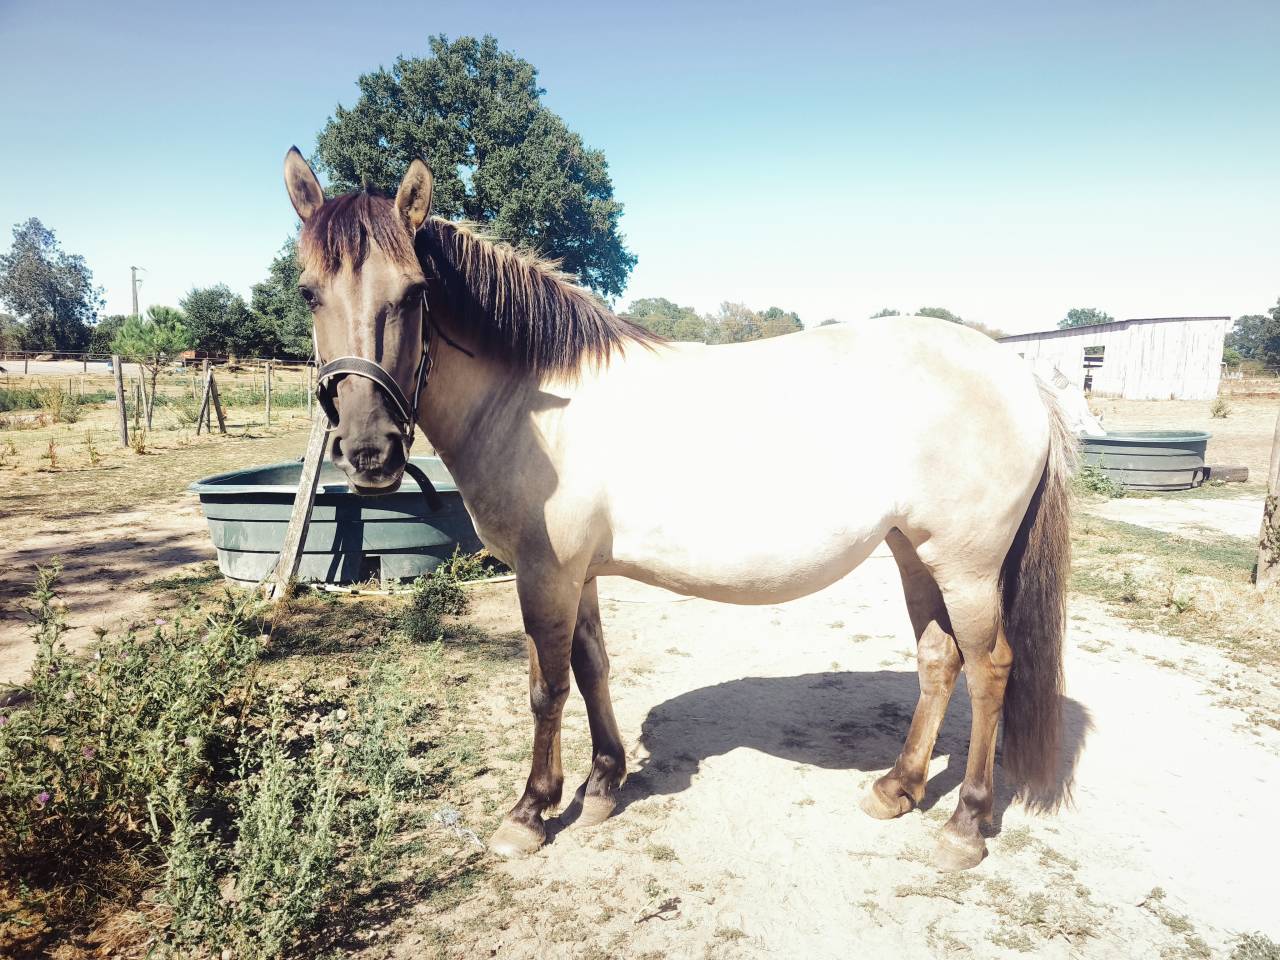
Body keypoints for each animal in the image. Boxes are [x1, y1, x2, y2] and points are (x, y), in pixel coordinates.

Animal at [282, 147, 1074, 871]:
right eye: (309, 293)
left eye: (415, 292)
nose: (370, 451)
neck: (532, 400)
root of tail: (1017, 375)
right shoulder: (576, 575)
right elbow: (593, 666)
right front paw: (604, 784)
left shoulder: (544, 574)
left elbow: (546, 686)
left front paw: (531, 811)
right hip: (914, 551)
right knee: (939, 659)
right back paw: (898, 788)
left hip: (968, 566)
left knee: (990, 668)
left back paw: (965, 825)